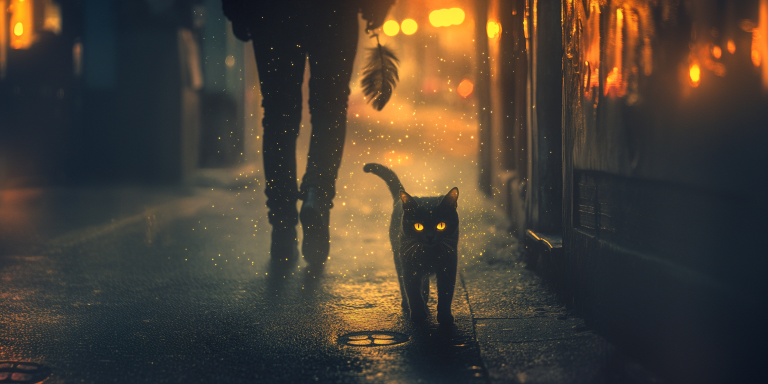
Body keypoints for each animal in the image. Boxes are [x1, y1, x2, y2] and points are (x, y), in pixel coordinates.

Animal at [364, 162, 460, 324]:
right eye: (418, 226)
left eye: (441, 225)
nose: (430, 237)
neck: (429, 255)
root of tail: (399, 199)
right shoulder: (410, 268)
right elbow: (413, 292)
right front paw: (418, 315)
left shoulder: (448, 267)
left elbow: (445, 295)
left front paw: (445, 317)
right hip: (399, 258)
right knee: (403, 282)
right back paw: (407, 302)